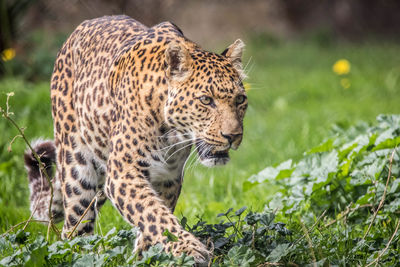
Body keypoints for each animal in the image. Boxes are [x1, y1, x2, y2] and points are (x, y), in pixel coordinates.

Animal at [24, 15, 247, 267]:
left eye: (240, 99)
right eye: (206, 100)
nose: (233, 136)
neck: (171, 131)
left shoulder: (168, 178)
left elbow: (153, 217)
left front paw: (146, 256)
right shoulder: (123, 172)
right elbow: (151, 213)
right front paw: (189, 249)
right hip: (77, 167)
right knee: (73, 229)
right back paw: (81, 255)